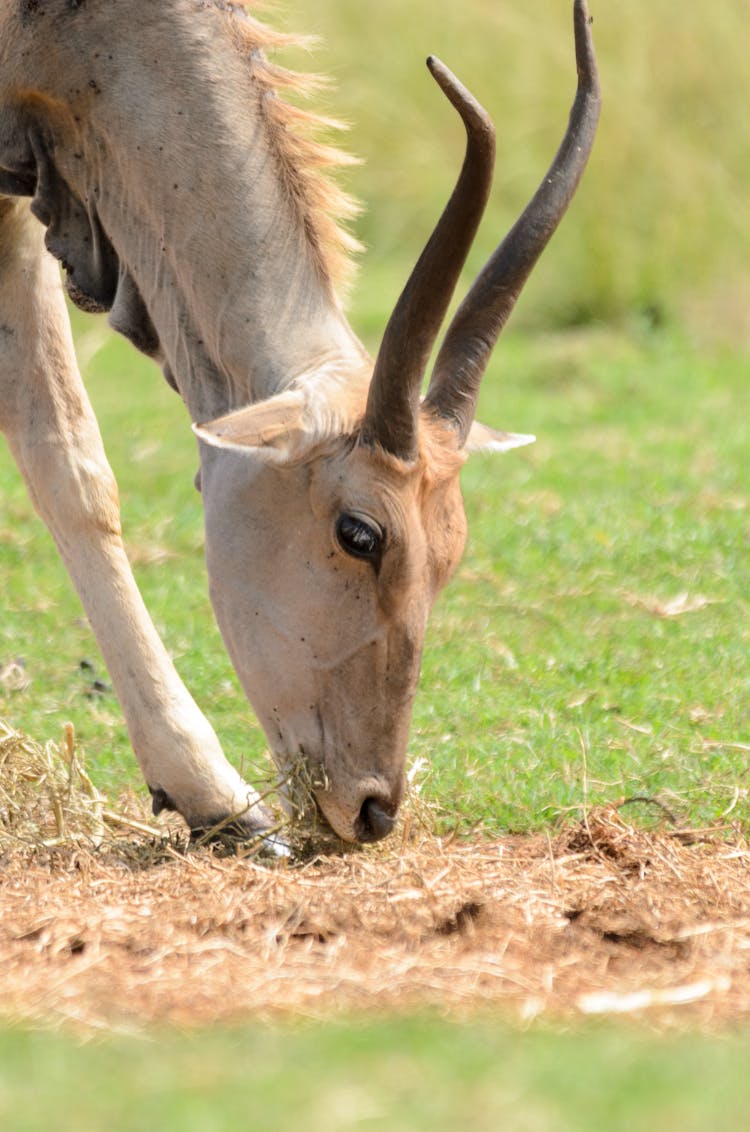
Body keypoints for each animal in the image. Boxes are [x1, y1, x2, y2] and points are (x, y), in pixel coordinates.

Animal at [0, 0, 597, 846]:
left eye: (452, 552)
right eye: (360, 534)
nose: (373, 807)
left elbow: (70, 460)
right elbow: (72, 462)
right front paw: (211, 792)